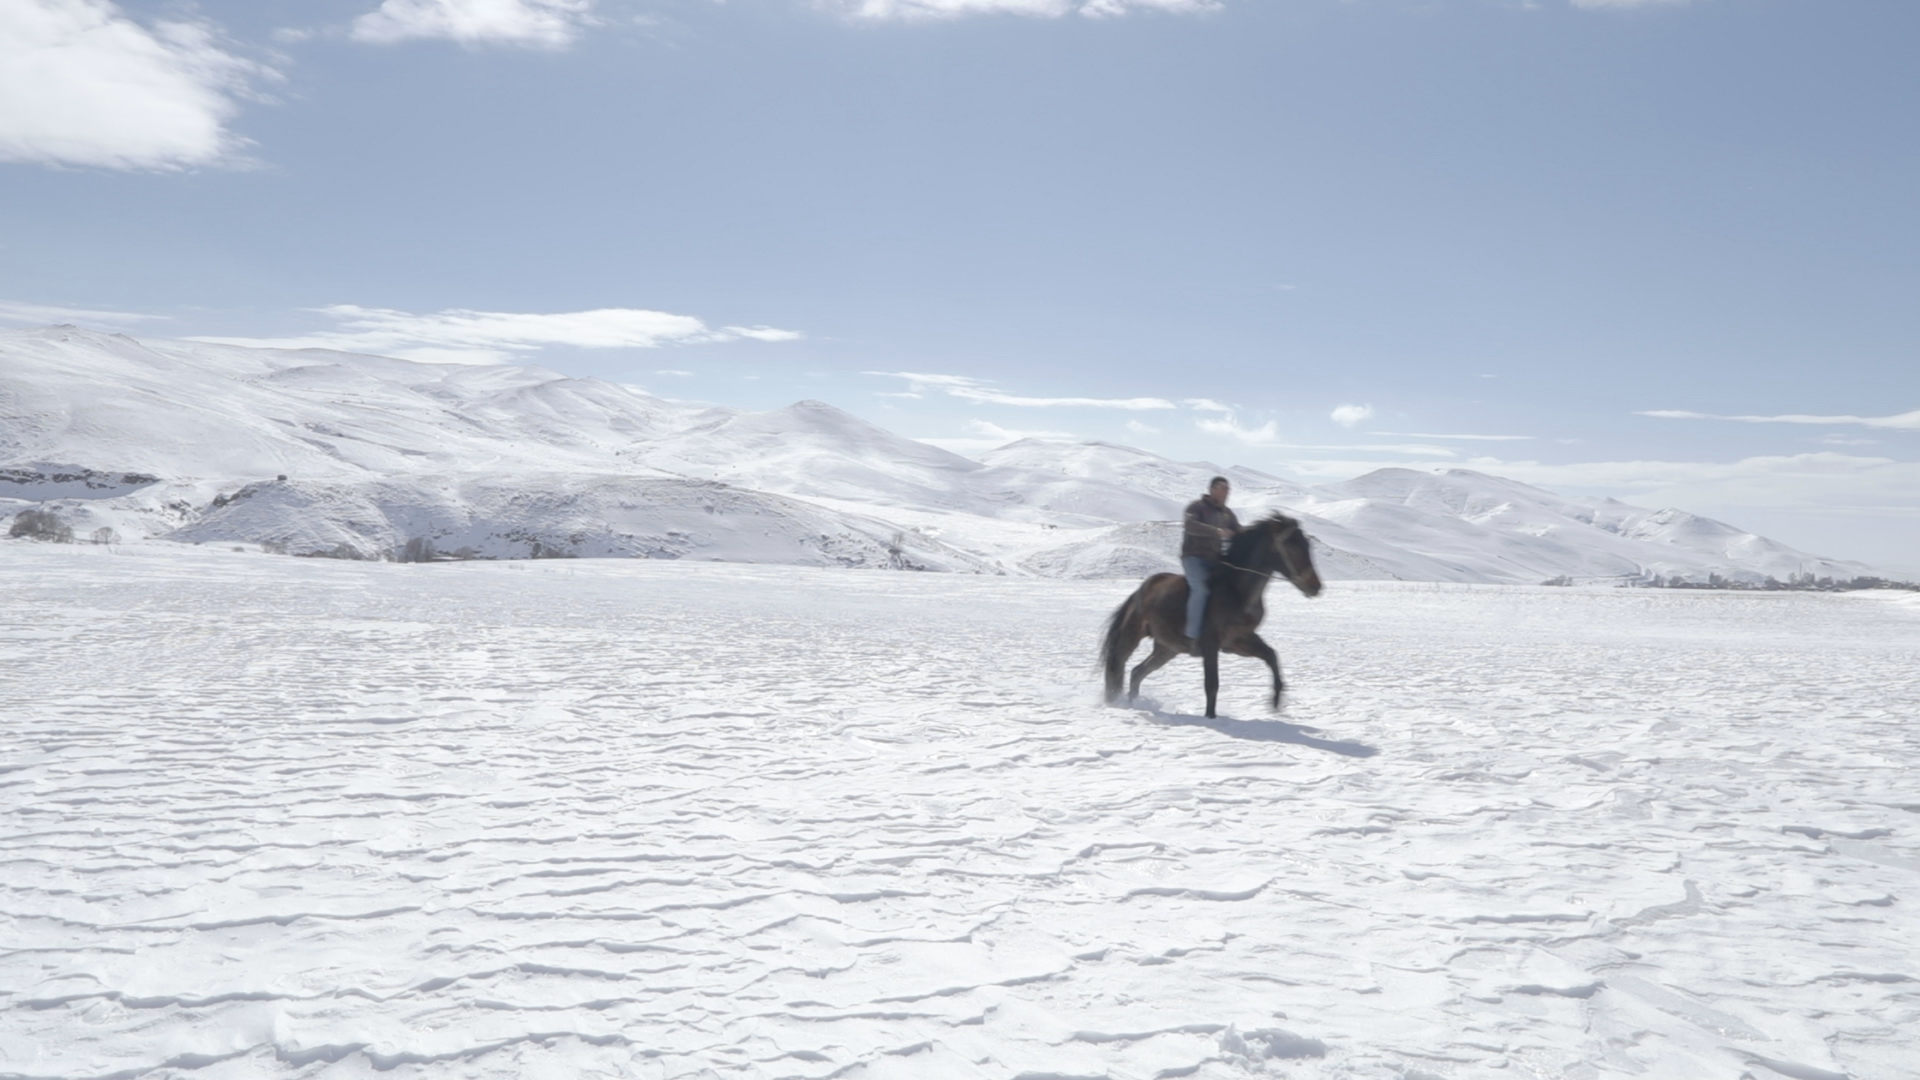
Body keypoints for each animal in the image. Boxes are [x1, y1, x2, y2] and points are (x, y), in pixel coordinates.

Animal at [1105, 511, 1328, 714]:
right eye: (1291, 544)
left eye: (1306, 545)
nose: (1315, 586)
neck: (1236, 591)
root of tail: (1139, 592)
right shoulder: (1210, 644)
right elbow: (1212, 685)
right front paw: (1210, 717)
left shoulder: (1239, 641)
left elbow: (1271, 655)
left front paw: (1275, 700)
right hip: (1133, 635)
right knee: (1119, 664)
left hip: (1167, 648)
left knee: (1137, 673)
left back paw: (1133, 703)